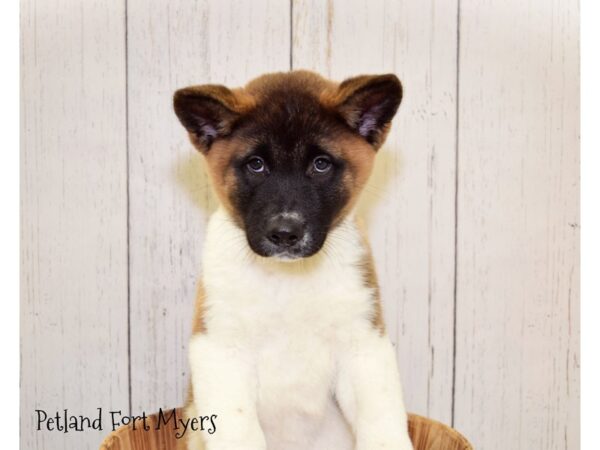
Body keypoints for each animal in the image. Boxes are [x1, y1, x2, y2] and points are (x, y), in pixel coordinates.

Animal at [171, 70, 410, 450]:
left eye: (320, 164)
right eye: (256, 165)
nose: (284, 233)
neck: (289, 279)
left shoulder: (363, 347)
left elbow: (382, 423)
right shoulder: (220, 348)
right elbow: (240, 430)